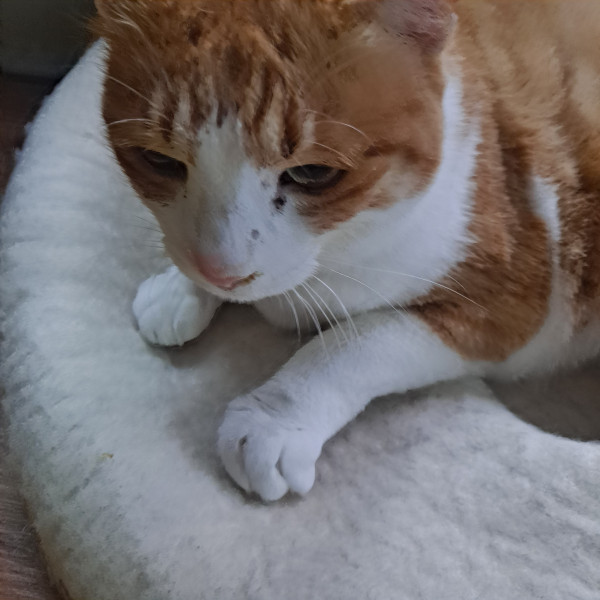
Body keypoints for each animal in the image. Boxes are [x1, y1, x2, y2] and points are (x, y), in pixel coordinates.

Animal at [94, 0, 600, 501]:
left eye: (313, 174)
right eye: (159, 160)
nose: (221, 271)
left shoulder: (514, 302)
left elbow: (359, 340)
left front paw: (275, 418)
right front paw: (180, 290)